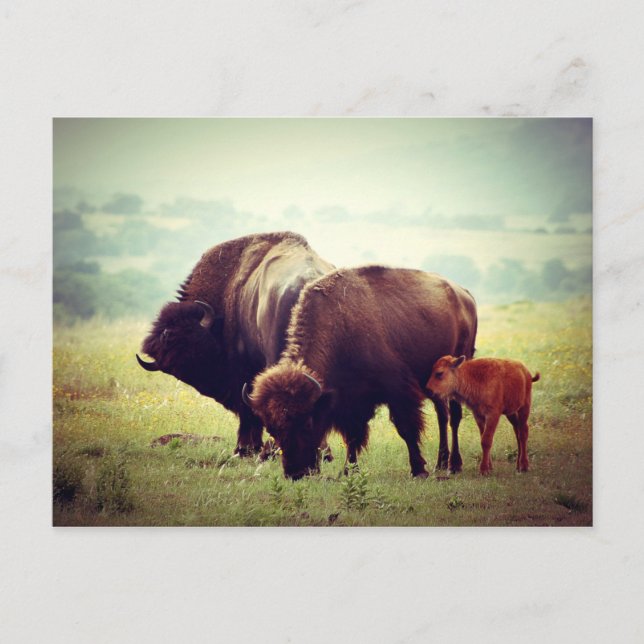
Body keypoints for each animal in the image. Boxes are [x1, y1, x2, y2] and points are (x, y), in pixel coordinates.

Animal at [245, 266, 478, 480]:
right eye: (272, 429)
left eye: (307, 422)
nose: (295, 473)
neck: (340, 327)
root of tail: (465, 295)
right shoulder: (351, 401)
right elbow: (353, 436)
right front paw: (349, 471)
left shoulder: (397, 391)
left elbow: (406, 428)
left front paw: (419, 470)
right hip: (434, 385)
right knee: (442, 414)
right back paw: (441, 463)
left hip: (459, 368)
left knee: (454, 416)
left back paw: (454, 465)